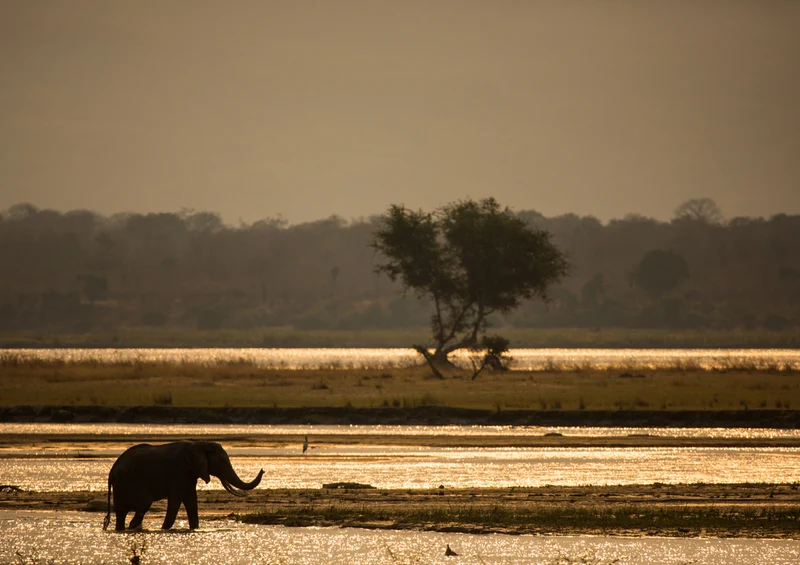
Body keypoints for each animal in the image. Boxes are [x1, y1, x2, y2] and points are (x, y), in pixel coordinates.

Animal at [102, 440, 264, 531]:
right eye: (222, 461)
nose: (263, 469)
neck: (200, 444)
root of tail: (112, 471)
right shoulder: (179, 472)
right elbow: (175, 501)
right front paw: (164, 529)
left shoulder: (190, 473)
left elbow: (191, 501)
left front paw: (194, 529)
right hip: (129, 481)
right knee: (143, 504)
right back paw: (131, 528)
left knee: (121, 512)